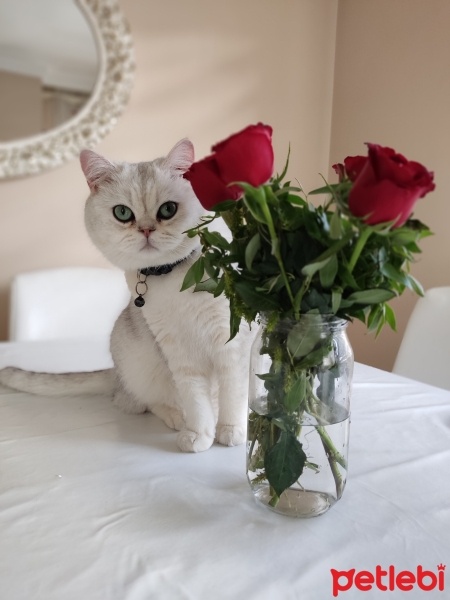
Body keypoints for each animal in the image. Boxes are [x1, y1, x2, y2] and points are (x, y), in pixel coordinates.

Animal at [0, 139, 253, 450]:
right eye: (123, 213)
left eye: (168, 210)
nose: (145, 229)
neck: (173, 279)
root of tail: (117, 376)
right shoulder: (178, 351)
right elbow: (196, 399)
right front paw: (198, 435)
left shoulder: (232, 340)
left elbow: (233, 393)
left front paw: (231, 431)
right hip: (135, 353)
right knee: (138, 401)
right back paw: (176, 417)